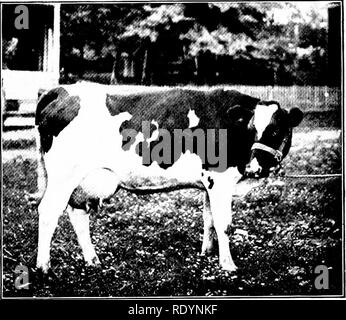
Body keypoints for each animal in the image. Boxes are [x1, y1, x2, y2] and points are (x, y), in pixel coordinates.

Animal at [33, 82, 302, 272]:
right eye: (251, 129)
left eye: (275, 131)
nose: (255, 167)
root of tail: (60, 90)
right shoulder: (220, 179)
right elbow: (224, 225)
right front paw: (228, 265)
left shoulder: (209, 183)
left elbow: (209, 220)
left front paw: (207, 253)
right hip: (64, 175)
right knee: (48, 211)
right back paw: (44, 267)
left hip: (82, 182)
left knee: (77, 215)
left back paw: (92, 259)